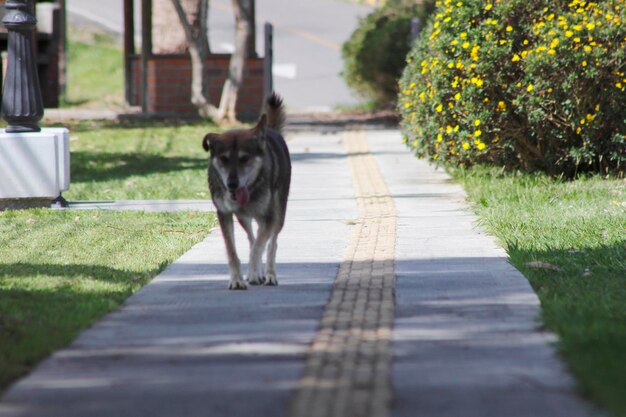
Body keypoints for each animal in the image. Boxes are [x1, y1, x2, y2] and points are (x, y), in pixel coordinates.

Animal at [202, 93, 290, 290]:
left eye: (245, 159)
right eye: (224, 159)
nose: (232, 184)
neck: (251, 189)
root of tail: (270, 130)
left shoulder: (270, 217)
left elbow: (259, 247)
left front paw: (253, 272)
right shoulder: (224, 214)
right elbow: (233, 250)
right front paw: (237, 279)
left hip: (279, 214)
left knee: (270, 244)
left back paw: (269, 275)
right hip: (243, 218)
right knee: (252, 238)